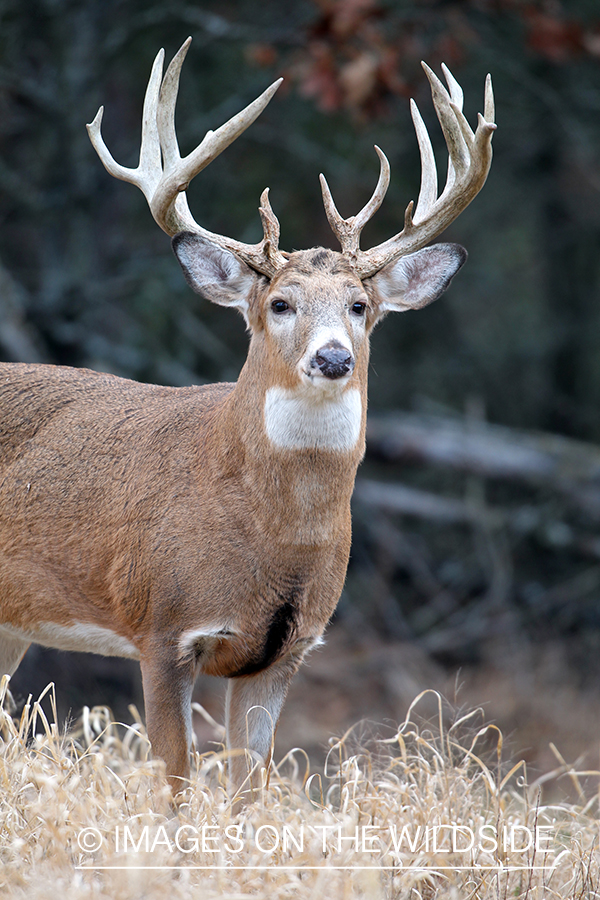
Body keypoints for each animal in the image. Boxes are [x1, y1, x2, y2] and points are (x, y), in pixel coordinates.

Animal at [0, 38, 496, 800]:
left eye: (359, 305)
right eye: (280, 303)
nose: (332, 357)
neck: (273, 530)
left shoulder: (285, 652)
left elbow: (250, 787)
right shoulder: (163, 628)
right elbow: (174, 783)